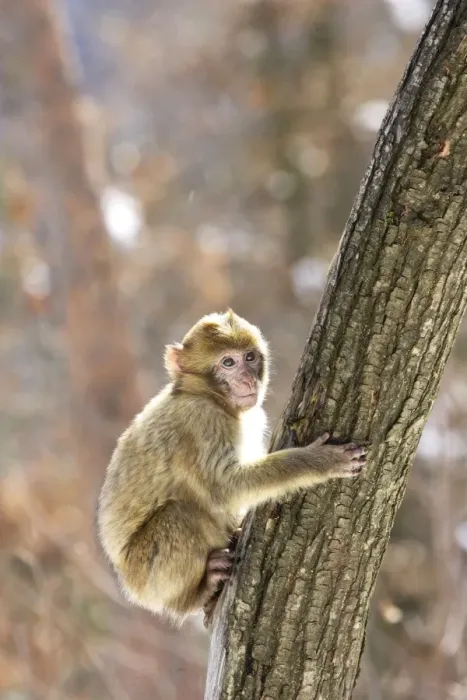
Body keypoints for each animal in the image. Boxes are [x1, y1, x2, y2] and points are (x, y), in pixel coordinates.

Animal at [97, 310, 367, 625]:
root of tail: (129, 585)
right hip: (147, 577)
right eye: (228, 363)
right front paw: (320, 461)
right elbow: (226, 488)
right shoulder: (201, 421)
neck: (206, 396)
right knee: (178, 515)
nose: (248, 380)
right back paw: (197, 593)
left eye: (250, 357)